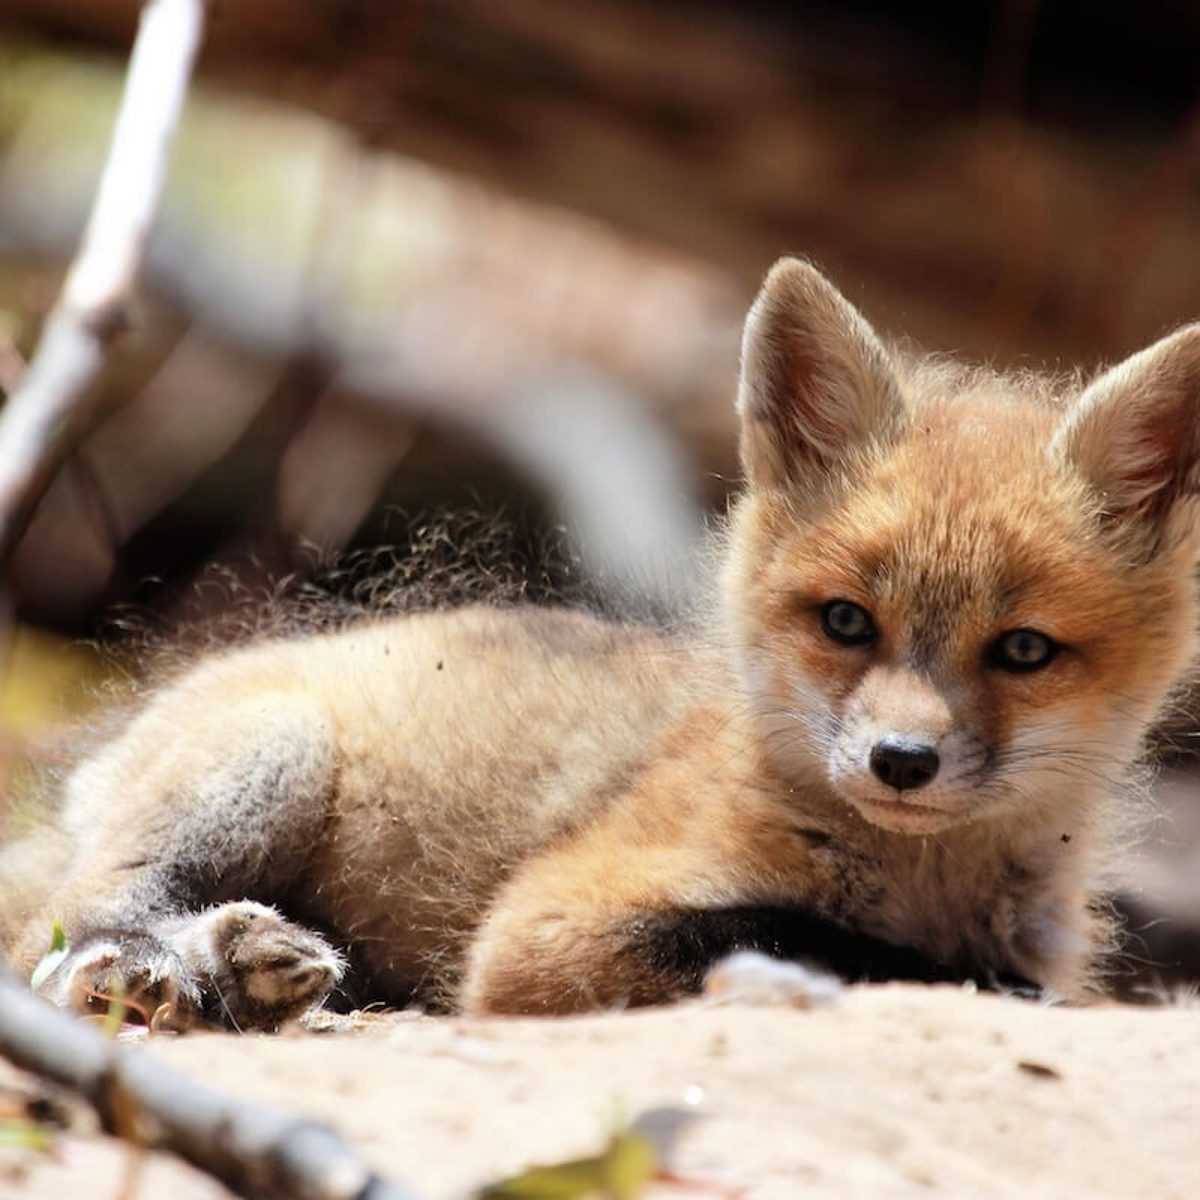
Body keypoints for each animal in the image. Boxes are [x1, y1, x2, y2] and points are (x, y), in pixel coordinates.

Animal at [3, 257, 1200, 1028]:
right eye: (847, 622)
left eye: (1024, 651)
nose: (900, 763)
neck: (922, 881)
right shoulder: (537, 936)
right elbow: (815, 940)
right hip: (272, 754)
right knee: (54, 936)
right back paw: (156, 970)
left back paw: (248, 970)